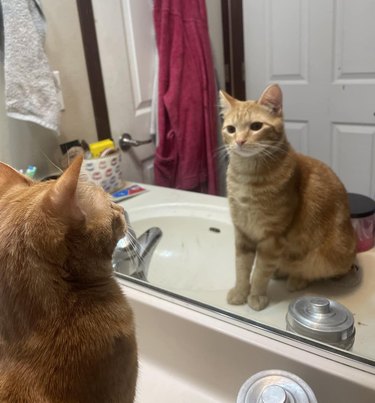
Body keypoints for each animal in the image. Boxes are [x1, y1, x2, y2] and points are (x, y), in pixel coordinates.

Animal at [220, 85, 358, 312]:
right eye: (231, 129)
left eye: (256, 126)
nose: (239, 141)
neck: (246, 176)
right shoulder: (243, 233)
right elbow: (242, 268)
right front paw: (240, 292)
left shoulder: (272, 238)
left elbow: (260, 272)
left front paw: (256, 296)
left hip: (331, 255)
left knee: (310, 271)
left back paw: (297, 279)